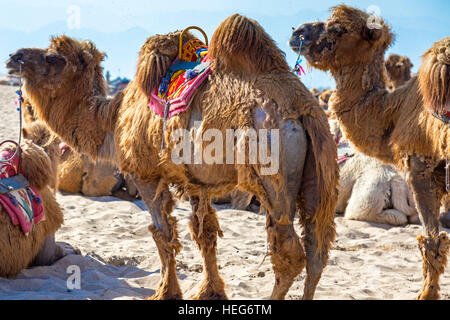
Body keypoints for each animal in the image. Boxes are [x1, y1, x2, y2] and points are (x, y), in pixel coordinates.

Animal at [7, 14, 338, 300]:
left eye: (54, 57)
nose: (14, 57)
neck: (112, 118)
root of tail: (301, 108)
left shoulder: (146, 174)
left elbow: (162, 234)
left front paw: (166, 291)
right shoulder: (196, 182)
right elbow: (205, 235)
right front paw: (210, 291)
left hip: (271, 168)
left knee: (290, 252)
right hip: (319, 171)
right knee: (317, 249)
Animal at [292, 4, 450, 300]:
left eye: (338, 28)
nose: (297, 32)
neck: (395, 110)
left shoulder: (420, 167)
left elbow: (432, 241)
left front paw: (426, 294)